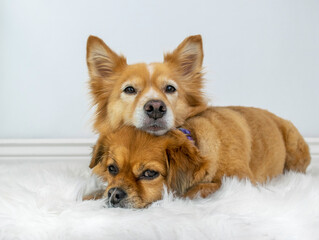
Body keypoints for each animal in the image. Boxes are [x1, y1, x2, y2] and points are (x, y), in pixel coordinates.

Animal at [86, 107, 312, 208]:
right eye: (112, 169)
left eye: (149, 174)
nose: (114, 194)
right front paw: (92, 196)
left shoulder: (241, 180)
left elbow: (200, 188)